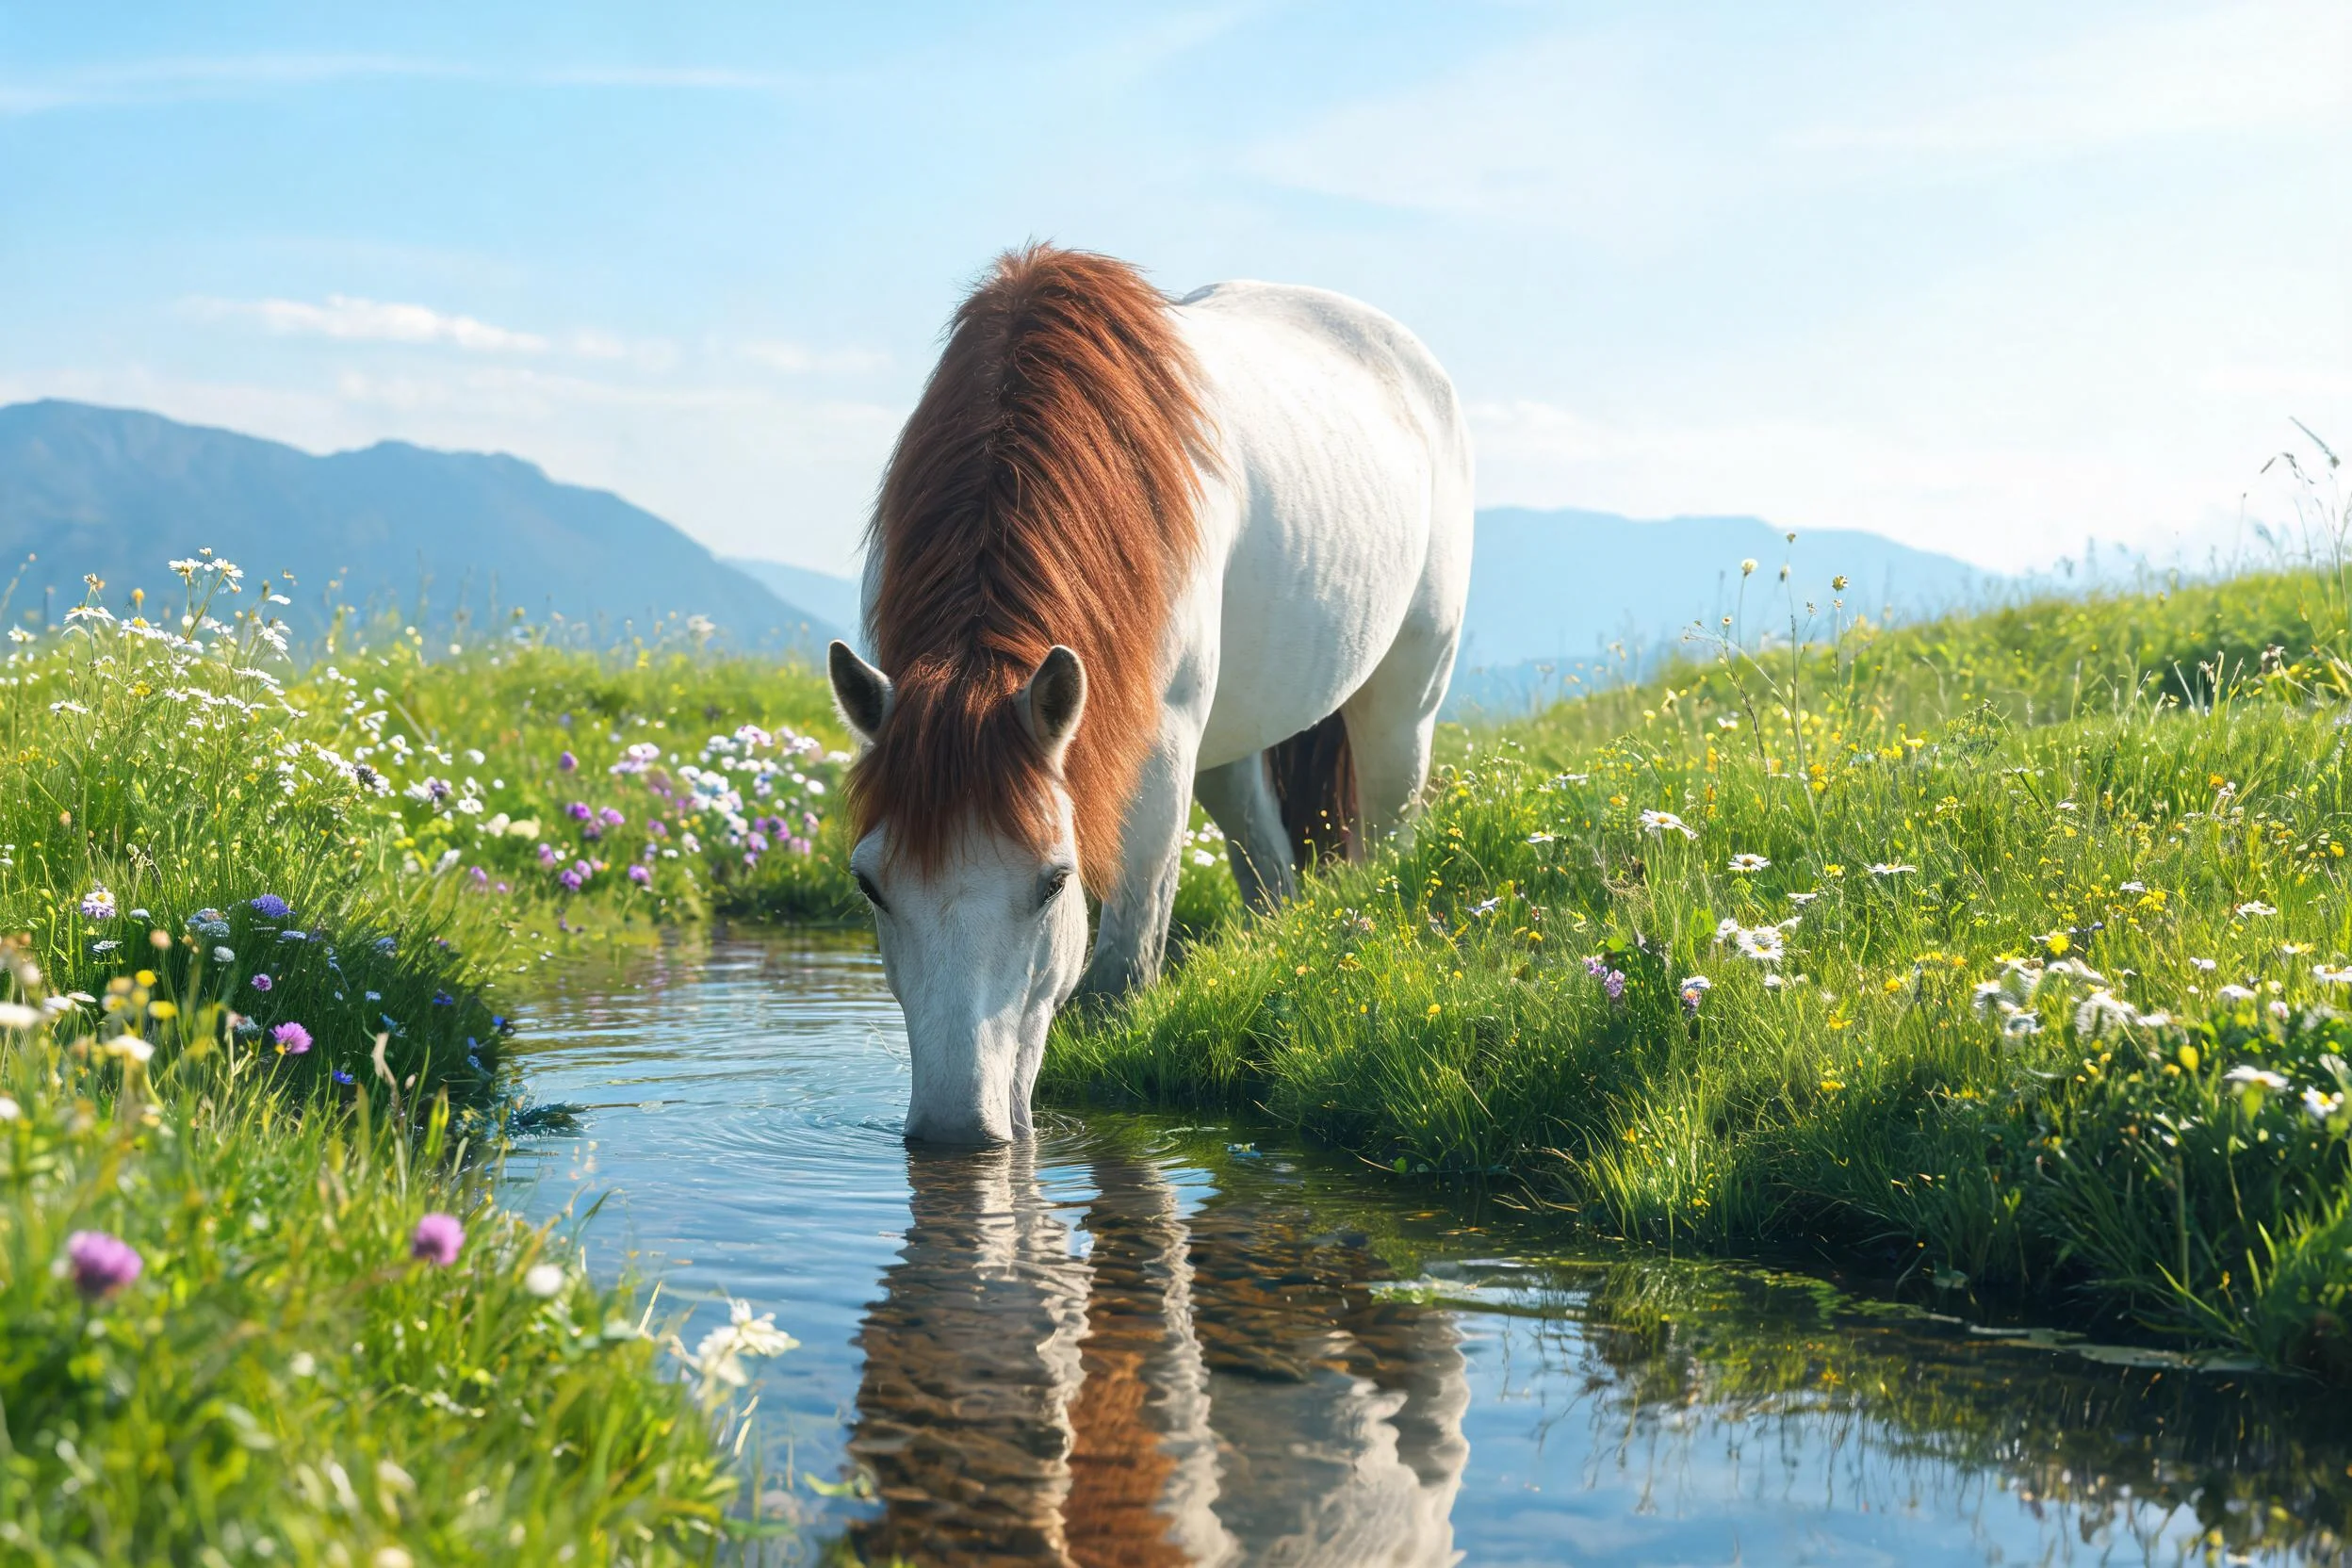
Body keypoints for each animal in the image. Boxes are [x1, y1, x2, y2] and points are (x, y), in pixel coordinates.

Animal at [828, 244, 1472, 1143]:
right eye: (870, 885)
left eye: (1054, 882)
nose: (959, 1131)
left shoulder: (1159, 750)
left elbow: (1117, 984)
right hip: (1233, 741)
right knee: (1268, 871)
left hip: (1404, 702)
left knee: (1386, 837)